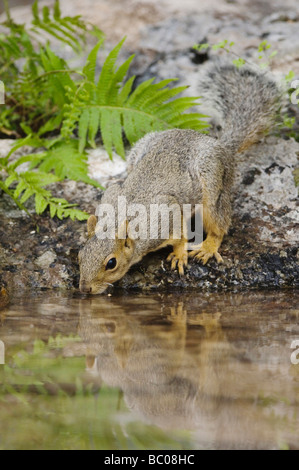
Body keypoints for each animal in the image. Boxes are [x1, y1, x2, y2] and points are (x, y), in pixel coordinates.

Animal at [79, 61, 282, 294]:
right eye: (80, 255)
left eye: (111, 263)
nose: (84, 289)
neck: (120, 219)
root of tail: (220, 145)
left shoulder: (167, 215)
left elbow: (180, 235)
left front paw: (179, 254)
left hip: (212, 183)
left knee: (219, 224)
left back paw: (208, 247)